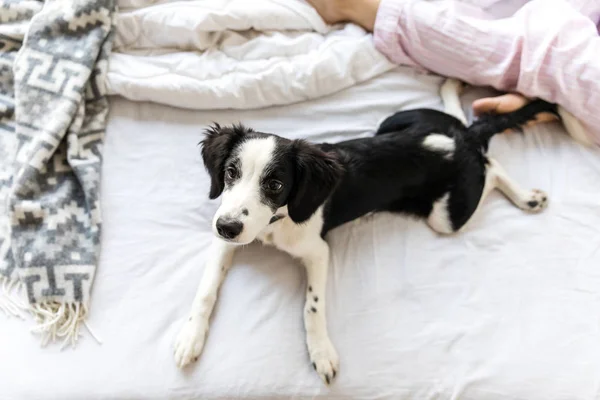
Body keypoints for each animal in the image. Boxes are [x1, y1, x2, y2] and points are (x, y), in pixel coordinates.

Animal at [172, 80, 552, 384]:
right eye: (230, 173)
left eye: (276, 185)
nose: (227, 227)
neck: (273, 226)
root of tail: (459, 140)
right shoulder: (226, 237)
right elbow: (205, 290)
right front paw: (190, 337)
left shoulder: (318, 250)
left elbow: (312, 307)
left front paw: (321, 352)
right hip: (394, 122)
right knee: (467, 127)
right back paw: (451, 89)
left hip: (446, 217)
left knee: (492, 164)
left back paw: (526, 197)